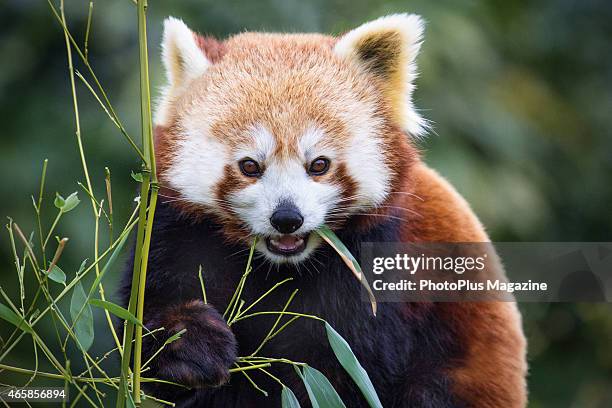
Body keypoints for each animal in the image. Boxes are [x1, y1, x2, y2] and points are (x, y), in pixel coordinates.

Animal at [119, 13, 524, 408]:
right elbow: (146, 330)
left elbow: (343, 375)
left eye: (319, 165)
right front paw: (192, 345)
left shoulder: (374, 275)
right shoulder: (177, 233)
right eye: (249, 166)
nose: (286, 218)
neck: (280, 266)